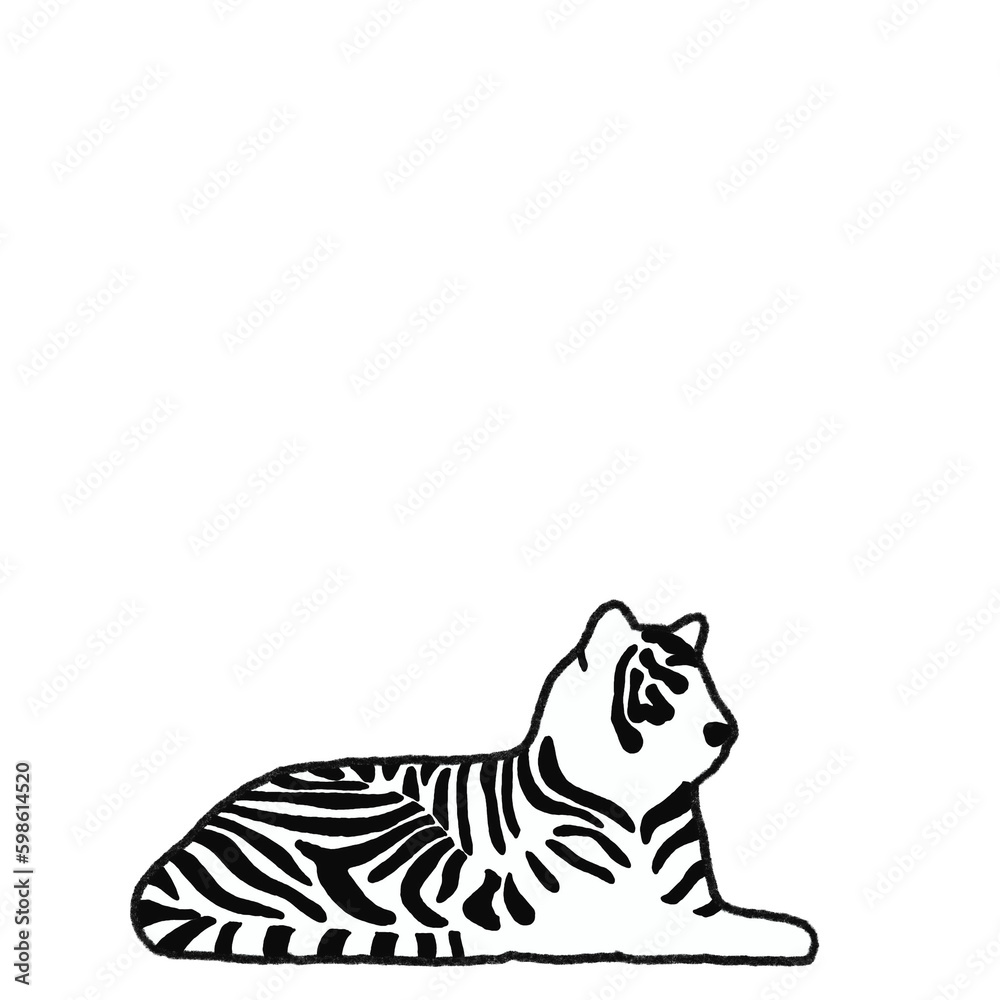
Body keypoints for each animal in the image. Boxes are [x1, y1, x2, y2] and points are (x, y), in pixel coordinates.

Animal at [131, 600, 818, 965]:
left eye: (704, 682)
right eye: (666, 687)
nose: (725, 730)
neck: (641, 799)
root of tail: (185, 843)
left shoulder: (694, 898)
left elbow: (735, 918)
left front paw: (792, 932)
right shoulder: (612, 911)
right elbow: (724, 932)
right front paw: (794, 937)